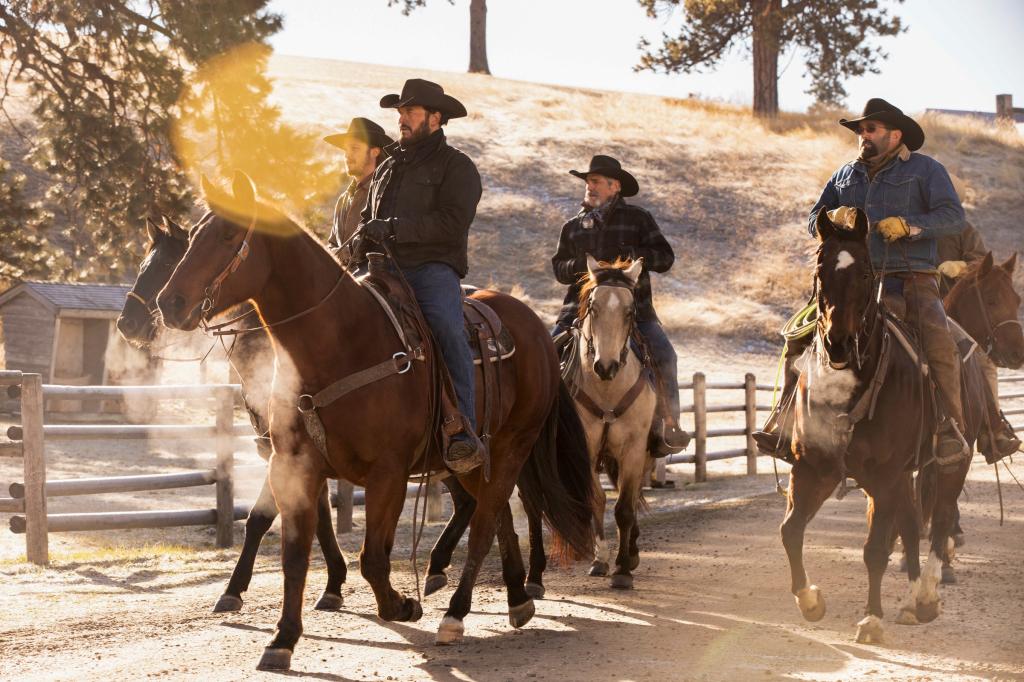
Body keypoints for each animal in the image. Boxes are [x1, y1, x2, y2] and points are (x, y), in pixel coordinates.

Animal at [151, 171, 593, 667]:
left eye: (228, 234)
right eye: (193, 234)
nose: (170, 302)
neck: (340, 341)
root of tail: (537, 328)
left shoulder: (388, 473)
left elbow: (373, 559)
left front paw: (401, 605)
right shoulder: (294, 467)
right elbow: (294, 554)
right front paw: (282, 638)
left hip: (513, 445)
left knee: (485, 524)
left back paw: (456, 613)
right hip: (478, 459)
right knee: (495, 517)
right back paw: (516, 597)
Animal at [565, 258, 659, 585]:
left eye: (630, 311)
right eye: (593, 307)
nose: (605, 366)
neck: (607, 389)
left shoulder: (633, 449)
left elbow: (625, 509)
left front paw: (623, 568)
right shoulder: (586, 449)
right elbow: (597, 500)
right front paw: (602, 559)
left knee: (634, 495)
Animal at [782, 206, 974, 643]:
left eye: (868, 274)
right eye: (820, 269)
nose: (837, 343)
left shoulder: (885, 476)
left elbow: (875, 549)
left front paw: (871, 619)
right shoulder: (812, 469)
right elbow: (791, 531)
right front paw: (809, 600)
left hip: (950, 462)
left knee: (939, 519)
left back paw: (925, 596)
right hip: (900, 476)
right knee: (911, 522)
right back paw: (910, 602)